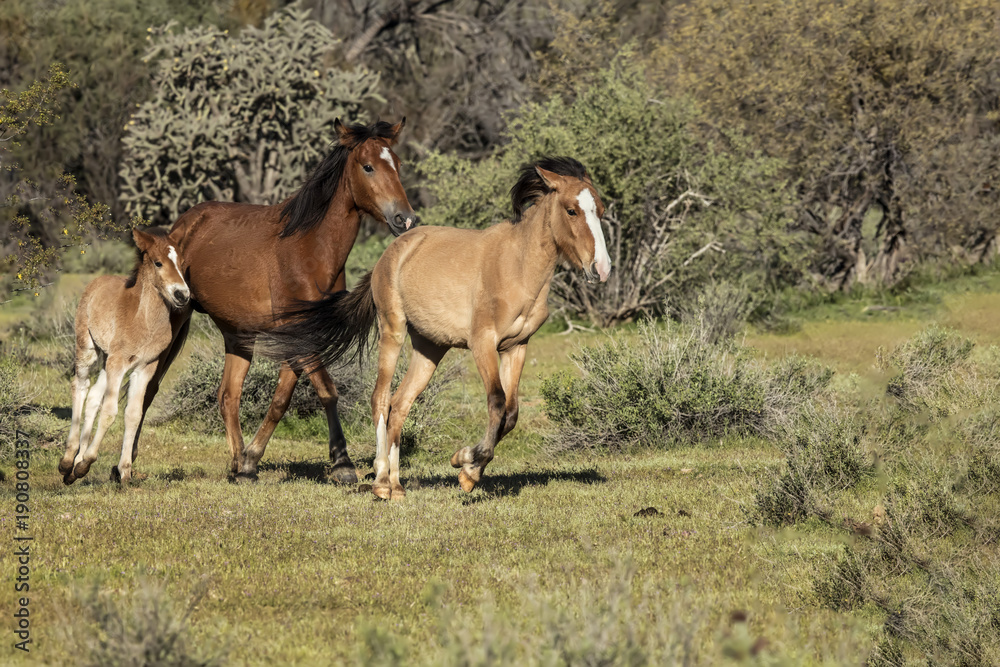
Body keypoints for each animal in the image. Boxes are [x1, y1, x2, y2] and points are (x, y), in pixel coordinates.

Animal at [60, 228, 192, 485]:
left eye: (182, 263)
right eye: (158, 262)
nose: (182, 295)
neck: (144, 319)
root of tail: (97, 280)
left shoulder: (145, 367)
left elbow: (133, 414)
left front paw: (125, 471)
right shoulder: (119, 363)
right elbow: (110, 412)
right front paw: (86, 463)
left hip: (106, 359)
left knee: (93, 398)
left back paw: (74, 465)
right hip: (88, 349)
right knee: (80, 387)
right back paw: (69, 461)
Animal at [168, 118, 416, 483]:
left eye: (397, 164)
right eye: (368, 166)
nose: (405, 219)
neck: (308, 248)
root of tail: (182, 224)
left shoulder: (302, 335)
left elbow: (283, 397)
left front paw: (250, 462)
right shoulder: (297, 333)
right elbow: (324, 389)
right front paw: (342, 464)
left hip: (237, 334)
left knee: (228, 395)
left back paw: (236, 462)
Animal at [261, 156, 611, 498]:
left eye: (601, 210)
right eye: (571, 210)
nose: (602, 269)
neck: (517, 267)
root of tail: (391, 253)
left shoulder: (516, 347)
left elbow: (510, 415)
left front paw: (467, 463)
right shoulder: (482, 344)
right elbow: (497, 404)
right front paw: (467, 468)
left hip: (430, 347)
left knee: (401, 404)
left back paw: (397, 486)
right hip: (393, 331)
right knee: (381, 399)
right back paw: (381, 482)